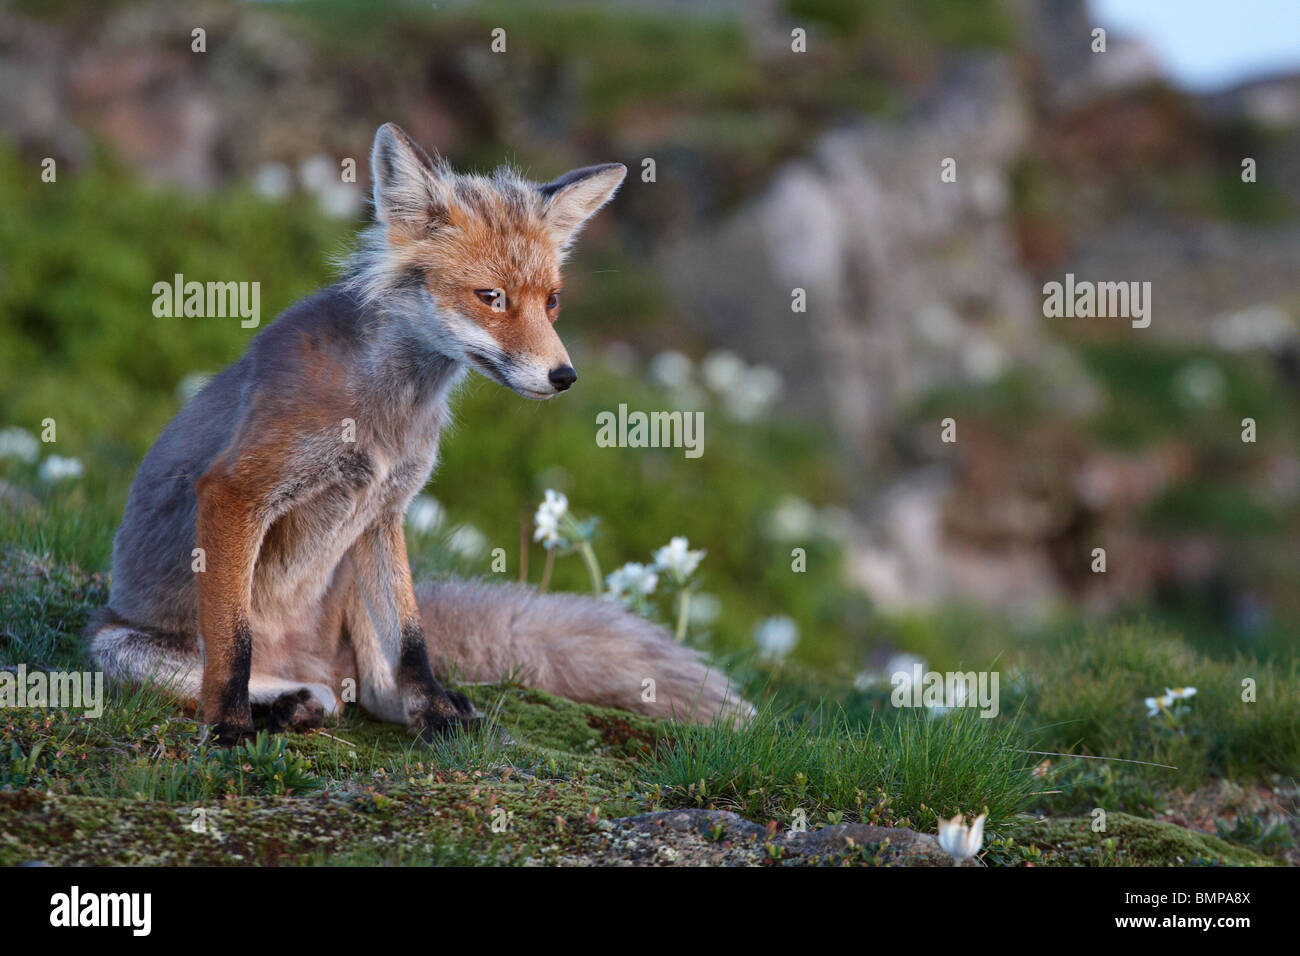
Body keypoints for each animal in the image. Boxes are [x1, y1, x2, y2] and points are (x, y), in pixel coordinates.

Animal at [86, 123, 750, 744]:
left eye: (552, 302)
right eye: (491, 297)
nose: (564, 377)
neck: (387, 414)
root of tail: (315, 664)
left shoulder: (386, 509)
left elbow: (411, 643)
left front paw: (437, 717)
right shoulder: (236, 489)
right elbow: (231, 642)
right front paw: (228, 727)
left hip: (353, 573)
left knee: (376, 689)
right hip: (111, 646)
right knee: (244, 676)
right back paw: (282, 702)